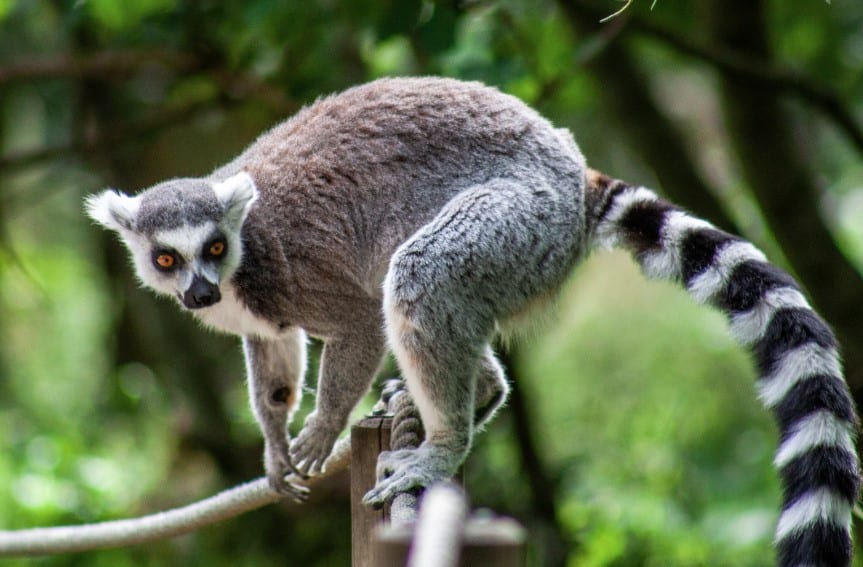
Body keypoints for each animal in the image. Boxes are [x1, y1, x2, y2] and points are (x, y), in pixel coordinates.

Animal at [85, 77, 858, 566]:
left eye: (214, 248)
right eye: (166, 257)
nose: (199, 291)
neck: (243, 262)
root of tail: (574, 175)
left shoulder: (291, 273)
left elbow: (359, 322)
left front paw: (321, 430)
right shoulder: (259, 312)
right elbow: (271, 358)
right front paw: (277, 449)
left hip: (516, 222)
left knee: (416, 278)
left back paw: (441, 445)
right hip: (519, 254)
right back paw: (474, 396)